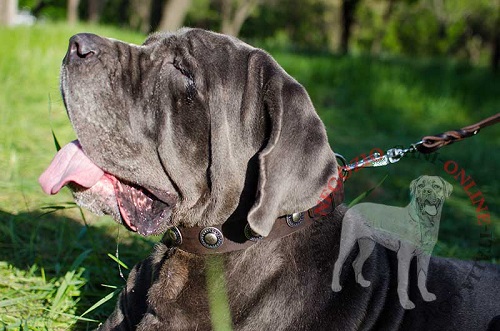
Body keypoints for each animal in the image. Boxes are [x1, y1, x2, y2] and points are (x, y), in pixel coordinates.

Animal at [332, 176, 454, 312]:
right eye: (421, 186)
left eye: (436, 186)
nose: (427, 191)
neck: (424, 223)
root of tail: (352, 207)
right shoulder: (404, 256)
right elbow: (404, 282)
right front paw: (406, 303)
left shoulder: (425, 256)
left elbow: (422, 277)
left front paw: (426, 296)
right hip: (348, 241)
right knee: (338, 262)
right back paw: (335, 286)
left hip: (368, 245)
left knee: (356, 263)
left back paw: (362, 282)